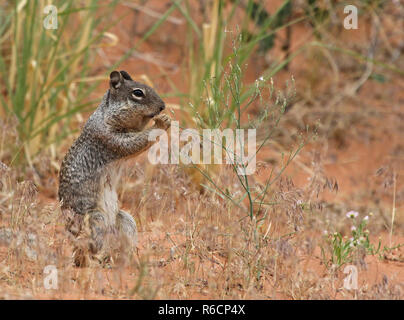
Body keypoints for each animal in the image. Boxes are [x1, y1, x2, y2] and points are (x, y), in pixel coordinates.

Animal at [58, 70, 170, 268]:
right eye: (138, 93)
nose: (162, 106)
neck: (105, 114)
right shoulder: (109, 138)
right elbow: (133, 144)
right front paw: (161, 123)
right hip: (96, 220)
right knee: (90, 251)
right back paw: (97, 263)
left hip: (125, 220)